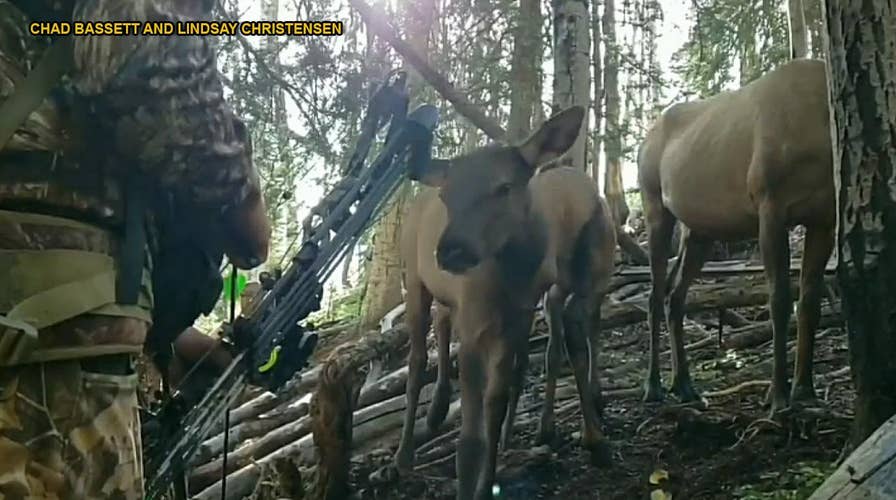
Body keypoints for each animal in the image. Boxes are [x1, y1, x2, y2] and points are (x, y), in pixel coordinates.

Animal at [395, 106, 616, 500]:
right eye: (448, 197)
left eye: (503, 187)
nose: (450, 250)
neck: (511, 279)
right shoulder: (474, 327)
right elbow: (469, 440)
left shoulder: (512, 322)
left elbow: (495, 407)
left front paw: (487, 484)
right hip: (414, 278)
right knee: (417, 360)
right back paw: (403, 455)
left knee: (441, 324)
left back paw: (437, 409)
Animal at [637, 59, 834, 416]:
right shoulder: (770, 206)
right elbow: (779, 300)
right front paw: (777, 396)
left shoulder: (825, 217)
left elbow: (810, 302)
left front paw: (805, 390)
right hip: (655, 204)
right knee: (654, 296)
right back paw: (653, 386)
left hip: (700, 230)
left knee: (675, 294)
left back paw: (684, 385)